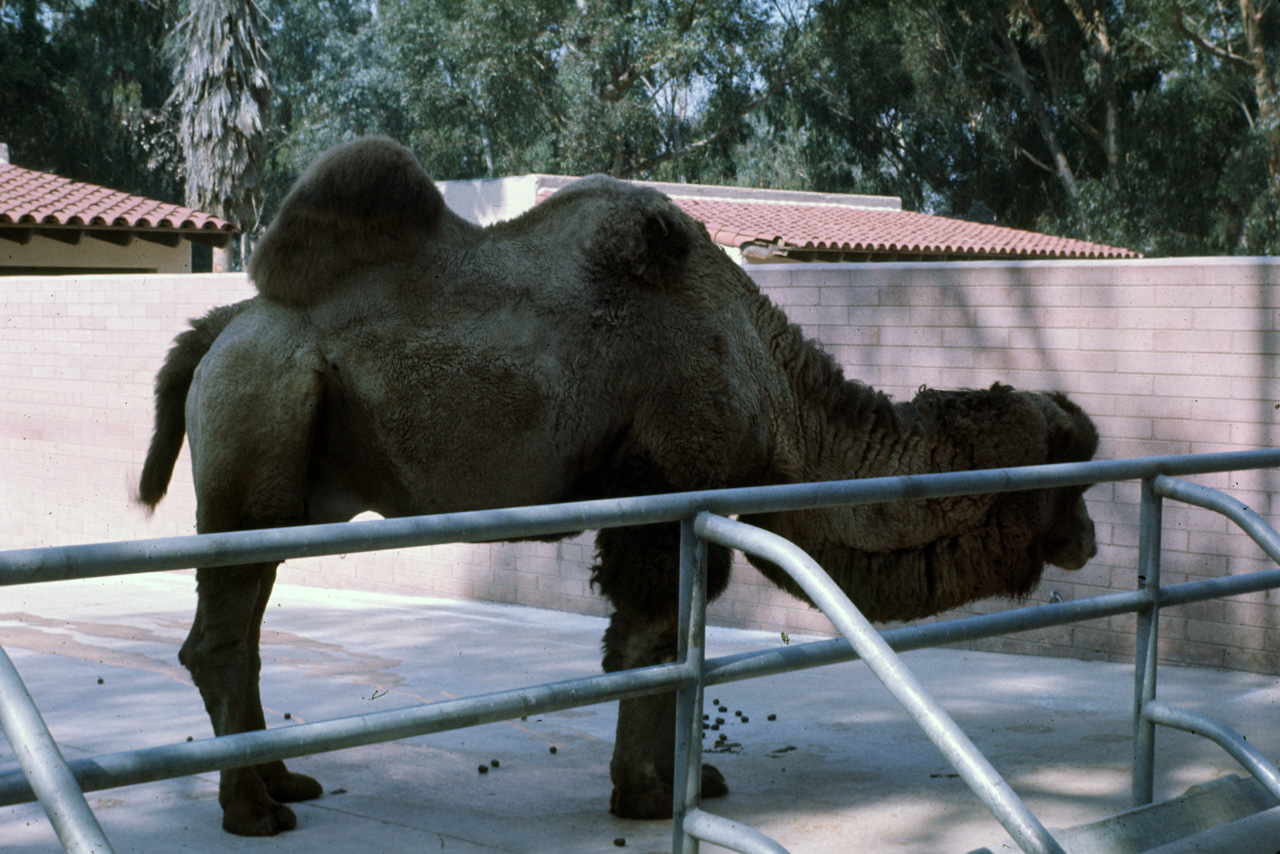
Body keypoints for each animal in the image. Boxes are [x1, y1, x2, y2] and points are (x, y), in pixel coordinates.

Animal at [137, 136, 1100, 839]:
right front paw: (649, 796)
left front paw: (690, 780)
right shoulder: (666, 485)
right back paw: (251, 812)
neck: (775, 397)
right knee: (220, 635)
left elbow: (669, 638)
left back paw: (284, 780)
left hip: (284, 464)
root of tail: (219, 331)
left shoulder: (684, 506)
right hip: (259, 418)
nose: (1092, 541)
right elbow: (649, 640)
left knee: (248, 624)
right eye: (1069, 477)